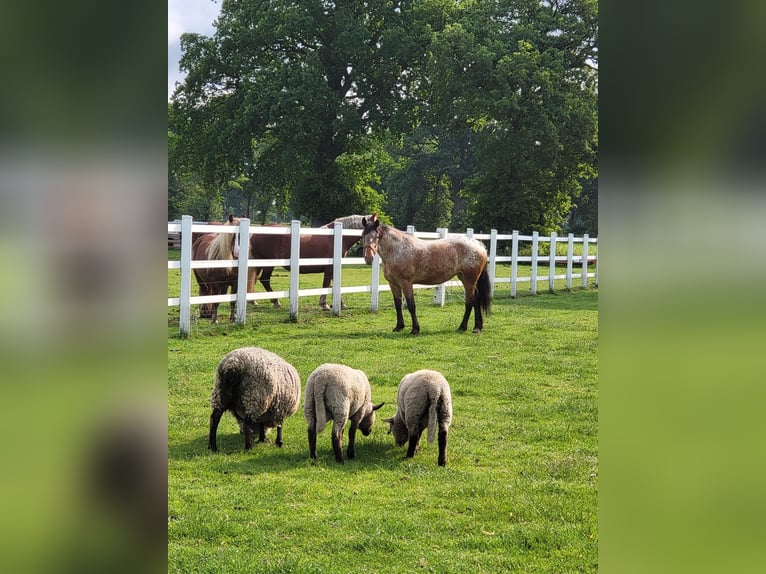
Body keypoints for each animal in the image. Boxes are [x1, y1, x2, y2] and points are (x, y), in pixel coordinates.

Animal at [360, 214, 491, 334]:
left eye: (376, 236)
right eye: (362, 236)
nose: (368, 258)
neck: (397, 249)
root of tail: (479, 245)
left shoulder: (406, 283)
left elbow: (411, 306)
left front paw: (415, 329)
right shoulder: (394, 284)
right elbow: (398, 305)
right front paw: (399, 327)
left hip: (469, 280)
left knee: (470, 301)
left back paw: (463, 327)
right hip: (466, 279)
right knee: (476, 299)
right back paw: (477, 327)